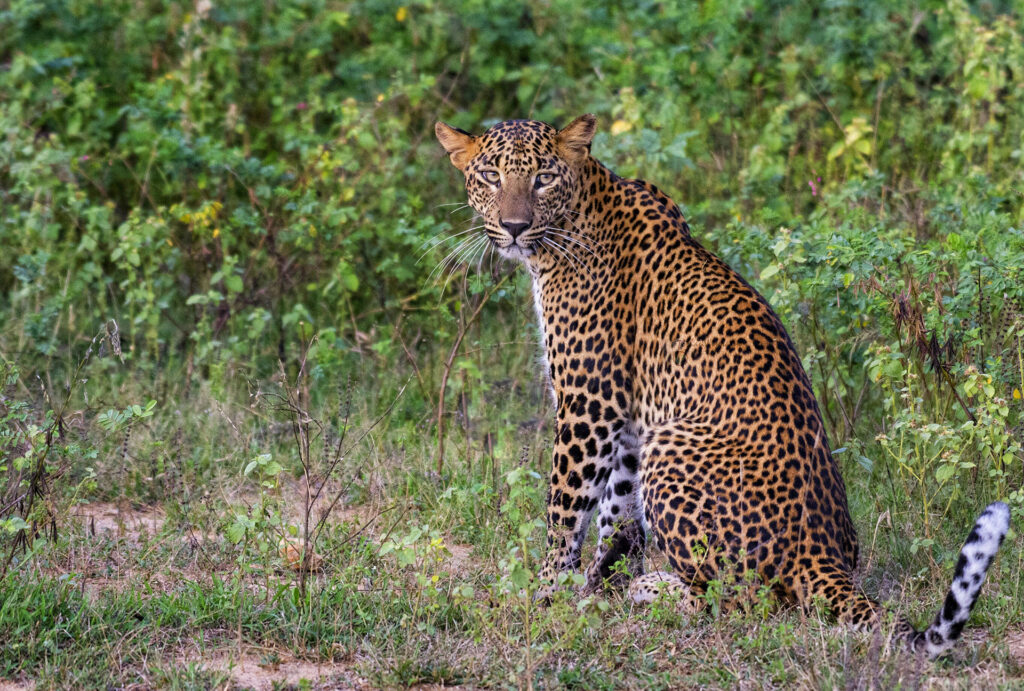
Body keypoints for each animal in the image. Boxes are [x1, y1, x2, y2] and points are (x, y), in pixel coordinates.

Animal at [432, 114, 1007, 659]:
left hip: (674, 446)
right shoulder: (628, 420)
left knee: (745, 601)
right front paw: (600, 583)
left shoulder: (589, 403)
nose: (514, 226)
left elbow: (565, 508)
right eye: (490, 176)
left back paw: (656, 590)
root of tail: (826, 556)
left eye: (544, 178)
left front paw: (548, 591)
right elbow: (618, 512)